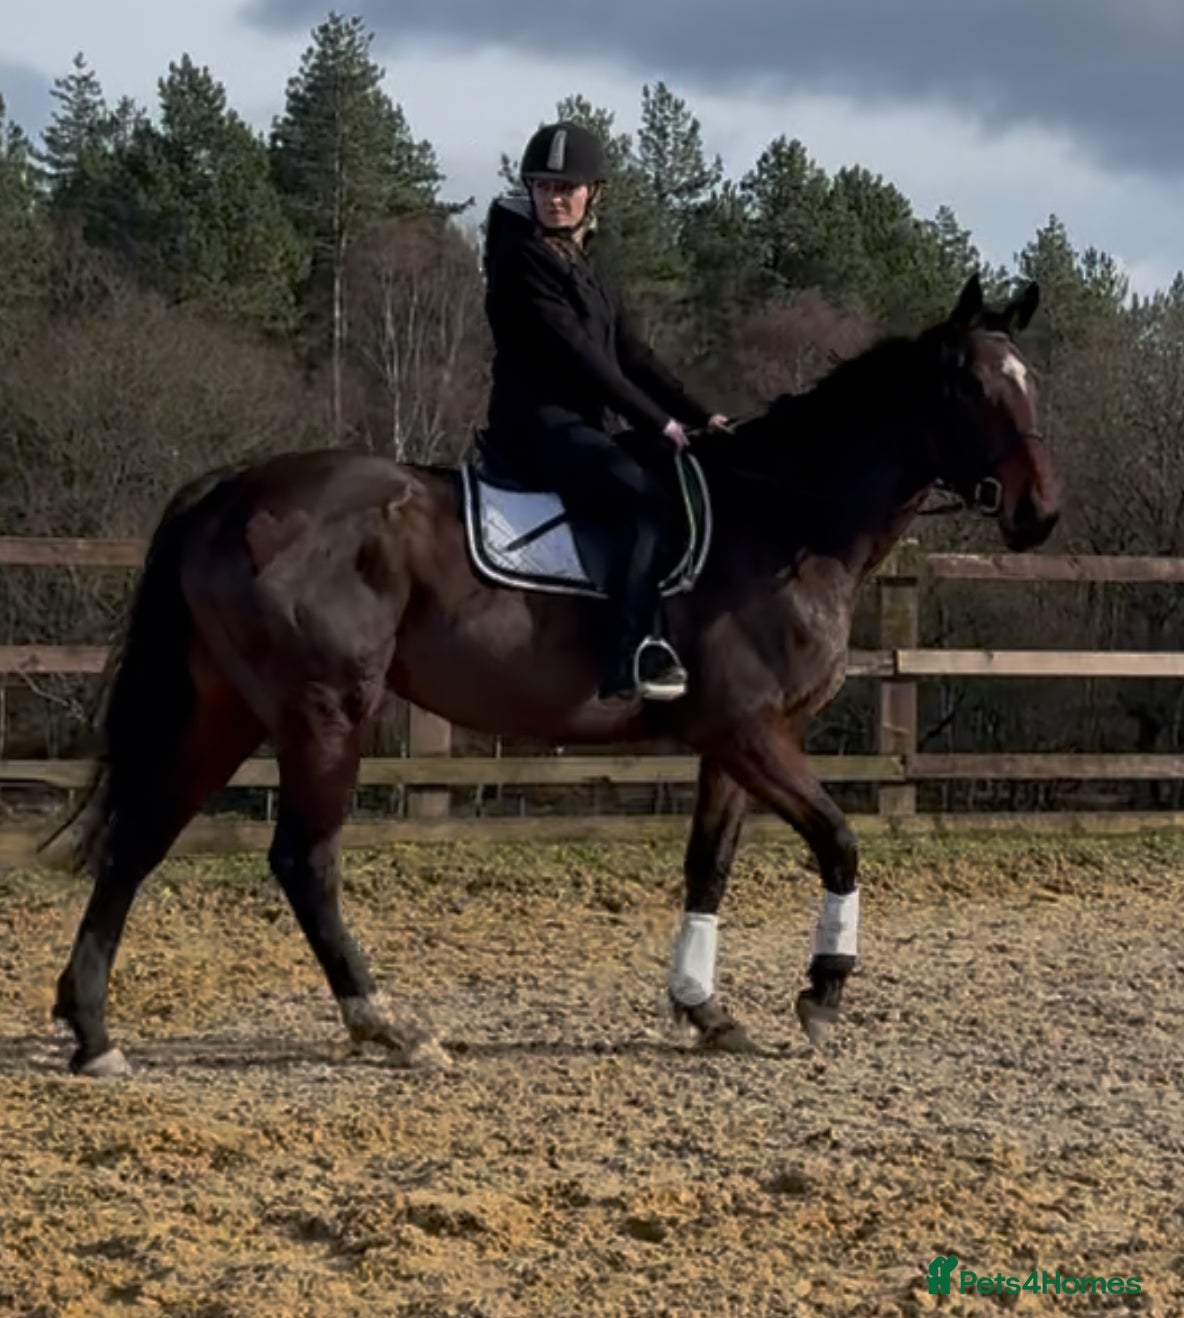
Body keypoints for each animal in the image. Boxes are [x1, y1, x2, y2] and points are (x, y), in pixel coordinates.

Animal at [48, 273, 1060, 1077]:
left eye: (1030, 382)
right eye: (968, 384)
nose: (1039, 515)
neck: (782, 520)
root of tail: (230, 488)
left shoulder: (740, 740)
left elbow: (709, 865)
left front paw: (704, 1008)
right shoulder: (749, 728)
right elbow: (840, 842)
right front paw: (822, 993)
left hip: (224, 709)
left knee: (141, 837)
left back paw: (94, 1032)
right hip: (325, 711)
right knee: (304, 859)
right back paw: (386, 1027)